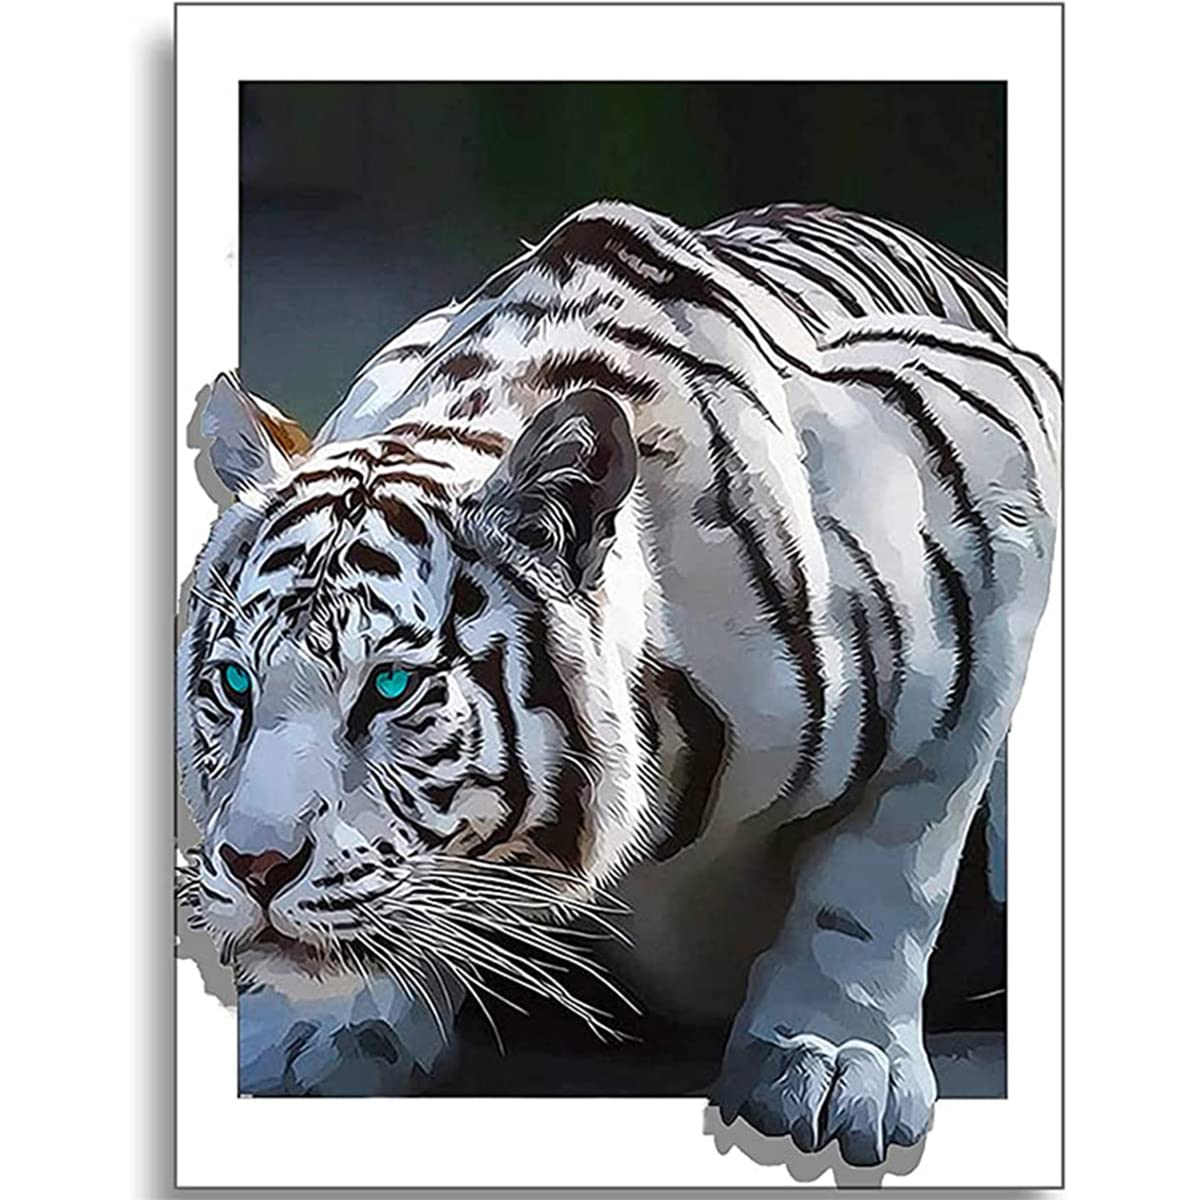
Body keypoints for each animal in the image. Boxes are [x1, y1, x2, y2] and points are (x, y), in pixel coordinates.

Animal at [177, 199, 1058, 1165]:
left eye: (391, 687)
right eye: (233, 683)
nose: (254, 867)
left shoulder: (996, 472)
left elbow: (887, 863)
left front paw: (830, 1059)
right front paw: (323, 1022)